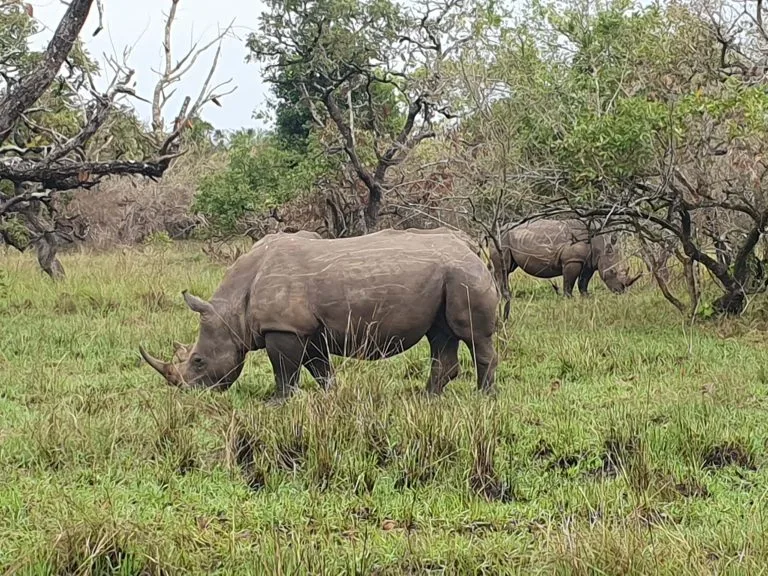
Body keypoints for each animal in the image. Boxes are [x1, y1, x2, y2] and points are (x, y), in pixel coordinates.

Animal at [140, 228, 499, 399]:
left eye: (199, 361)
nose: (190, 393)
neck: (232, 308)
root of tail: (469, 244)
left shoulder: (283, 327)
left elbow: (284, 372)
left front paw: (277, 403)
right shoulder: (306, 330)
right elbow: (320, 369)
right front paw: (332, 396)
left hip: (463, 273)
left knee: (472, 335)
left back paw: (482, 397)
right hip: (449, 275)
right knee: (440, 335)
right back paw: (427, 399)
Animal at [490, 218, 641, 318]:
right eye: (612, 272)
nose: (620, 291)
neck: (601, 244)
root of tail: (494, 231)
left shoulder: (589, 262)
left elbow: (583, 281)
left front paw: (587, 296)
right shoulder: (572, 260)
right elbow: (569, 281)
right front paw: (569, 298)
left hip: (508, 238)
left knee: (507, 269)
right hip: (502, 238)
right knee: (503, 269)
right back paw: (506, 297)